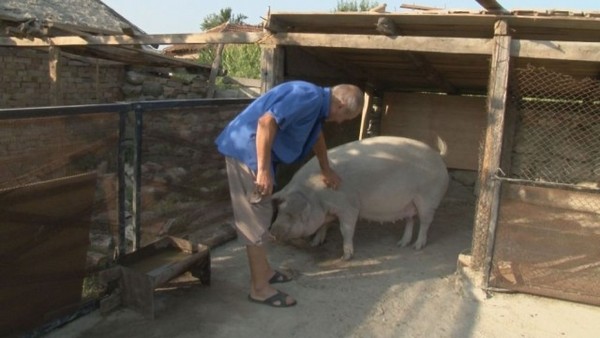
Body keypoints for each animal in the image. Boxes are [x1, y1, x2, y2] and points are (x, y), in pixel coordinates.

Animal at [270, 136, 448, 260]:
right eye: (280, 210)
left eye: (293, 215)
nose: (273, 231)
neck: (316, 194)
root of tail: (438, 156)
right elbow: (323, 225)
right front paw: (315, 243)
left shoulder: (348, 206)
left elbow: (346, 229)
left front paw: (346, 257)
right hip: (409, 203)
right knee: (410, 220)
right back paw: (402, 244)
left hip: (428, 199)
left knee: (425, 222)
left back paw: (417, 247)